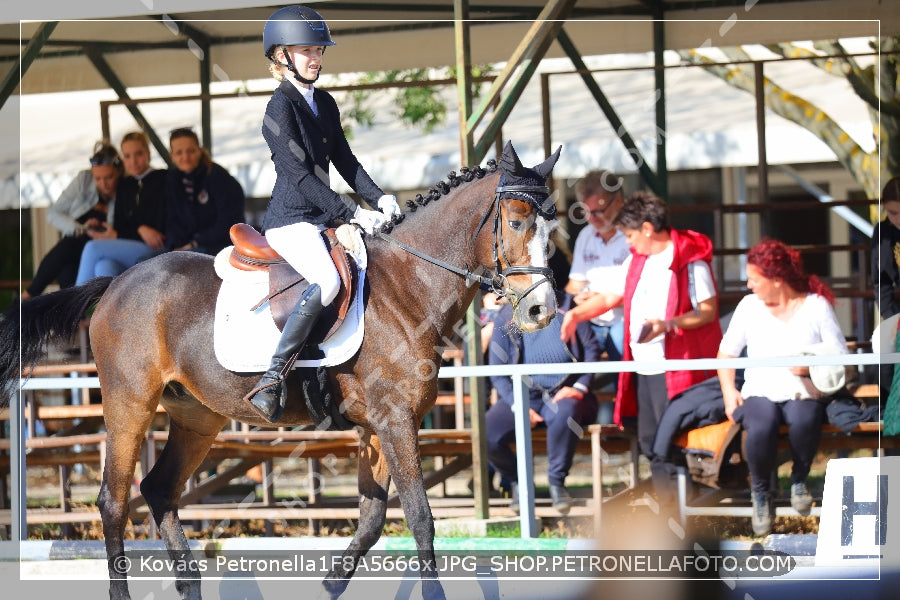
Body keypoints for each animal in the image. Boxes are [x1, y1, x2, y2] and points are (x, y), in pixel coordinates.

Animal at [0, 143, 564, 596]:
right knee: (113, 501)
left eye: (551, 225)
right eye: (517, 221)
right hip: (129, 404)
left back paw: (190, 584)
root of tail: (117, 282)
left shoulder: (378, 426)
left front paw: (332, 584)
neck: (409, 286)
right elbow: (421, 518)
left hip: (197, 416)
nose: (542, 310)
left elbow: (372, 519)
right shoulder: (395, 420)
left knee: (159, 489)